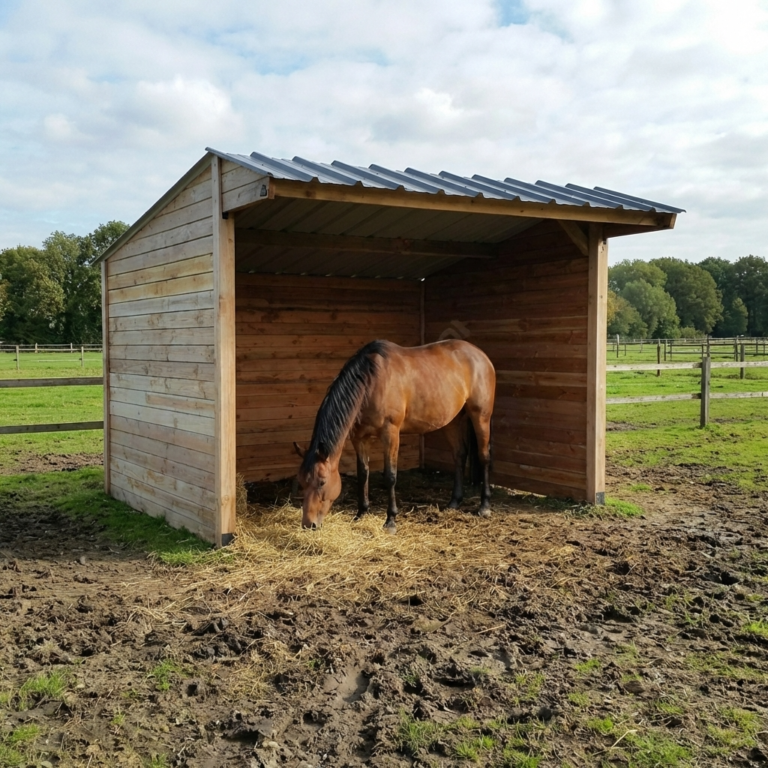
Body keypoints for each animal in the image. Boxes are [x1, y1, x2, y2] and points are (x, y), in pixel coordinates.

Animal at [293, 339, 495, 533]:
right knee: (459, 455)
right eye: (301, 483)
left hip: (481, 416)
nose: (308, 524)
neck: (371, 383)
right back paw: (454, 502)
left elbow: (390, 476)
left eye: (322, 482)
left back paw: (484, 506)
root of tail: (480, 354)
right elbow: (363, 473)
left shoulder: (390, 434)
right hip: (452, 421)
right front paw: (361, 513)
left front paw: (390, 520)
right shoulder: (359, 438)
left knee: (484, 456)